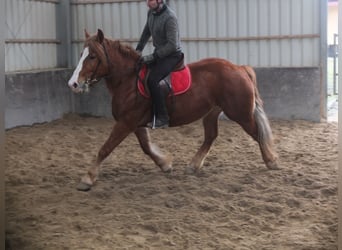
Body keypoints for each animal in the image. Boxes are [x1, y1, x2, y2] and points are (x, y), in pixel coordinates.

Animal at [67, 28, 278, 191]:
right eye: (81, 54)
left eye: (92, 56)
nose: (73, 84)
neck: (128, 80)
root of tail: (239, 68)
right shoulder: (135, 124)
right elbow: (146, 147)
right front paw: (165, 164)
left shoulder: (126, 123)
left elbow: (105, 148)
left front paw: (87, 178)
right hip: (212, 112)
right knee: (211, 136)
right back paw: (193, 166)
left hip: (240, 114)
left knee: (257, 133)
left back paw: (271, 161)